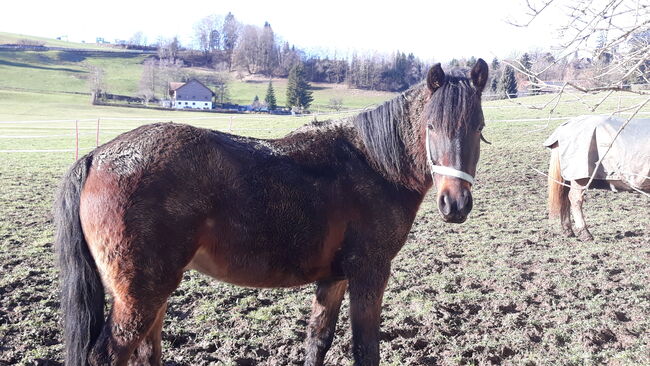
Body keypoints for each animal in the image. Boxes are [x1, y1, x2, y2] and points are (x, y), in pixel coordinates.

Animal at [55, 58, 488, 364]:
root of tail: (96, 157)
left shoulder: (334, 278)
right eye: (431, 126)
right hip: (140, 296)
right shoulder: (370, 272)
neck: (372, 164)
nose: (455, 204)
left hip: (154, 292)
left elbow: (318, 341)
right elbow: (366, 349)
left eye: (479, 126)